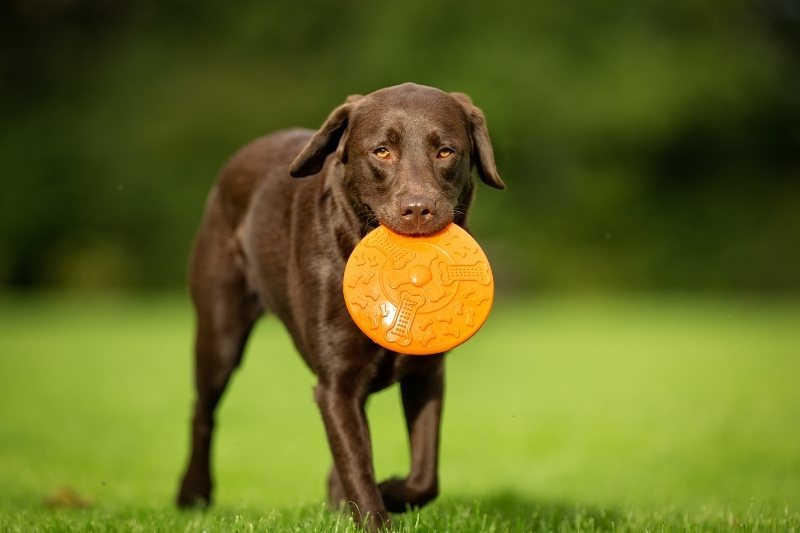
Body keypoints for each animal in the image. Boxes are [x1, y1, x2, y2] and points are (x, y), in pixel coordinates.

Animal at [177, 82, 504, 528]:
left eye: (445, 151)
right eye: (382, 151)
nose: (419, 209)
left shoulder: (426, 373)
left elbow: (424, 476)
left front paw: (392, 490)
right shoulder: (335, 384)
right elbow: (357, 467)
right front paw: (376, 511)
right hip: (220, 331)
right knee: (203, 411)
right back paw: (193, 494)